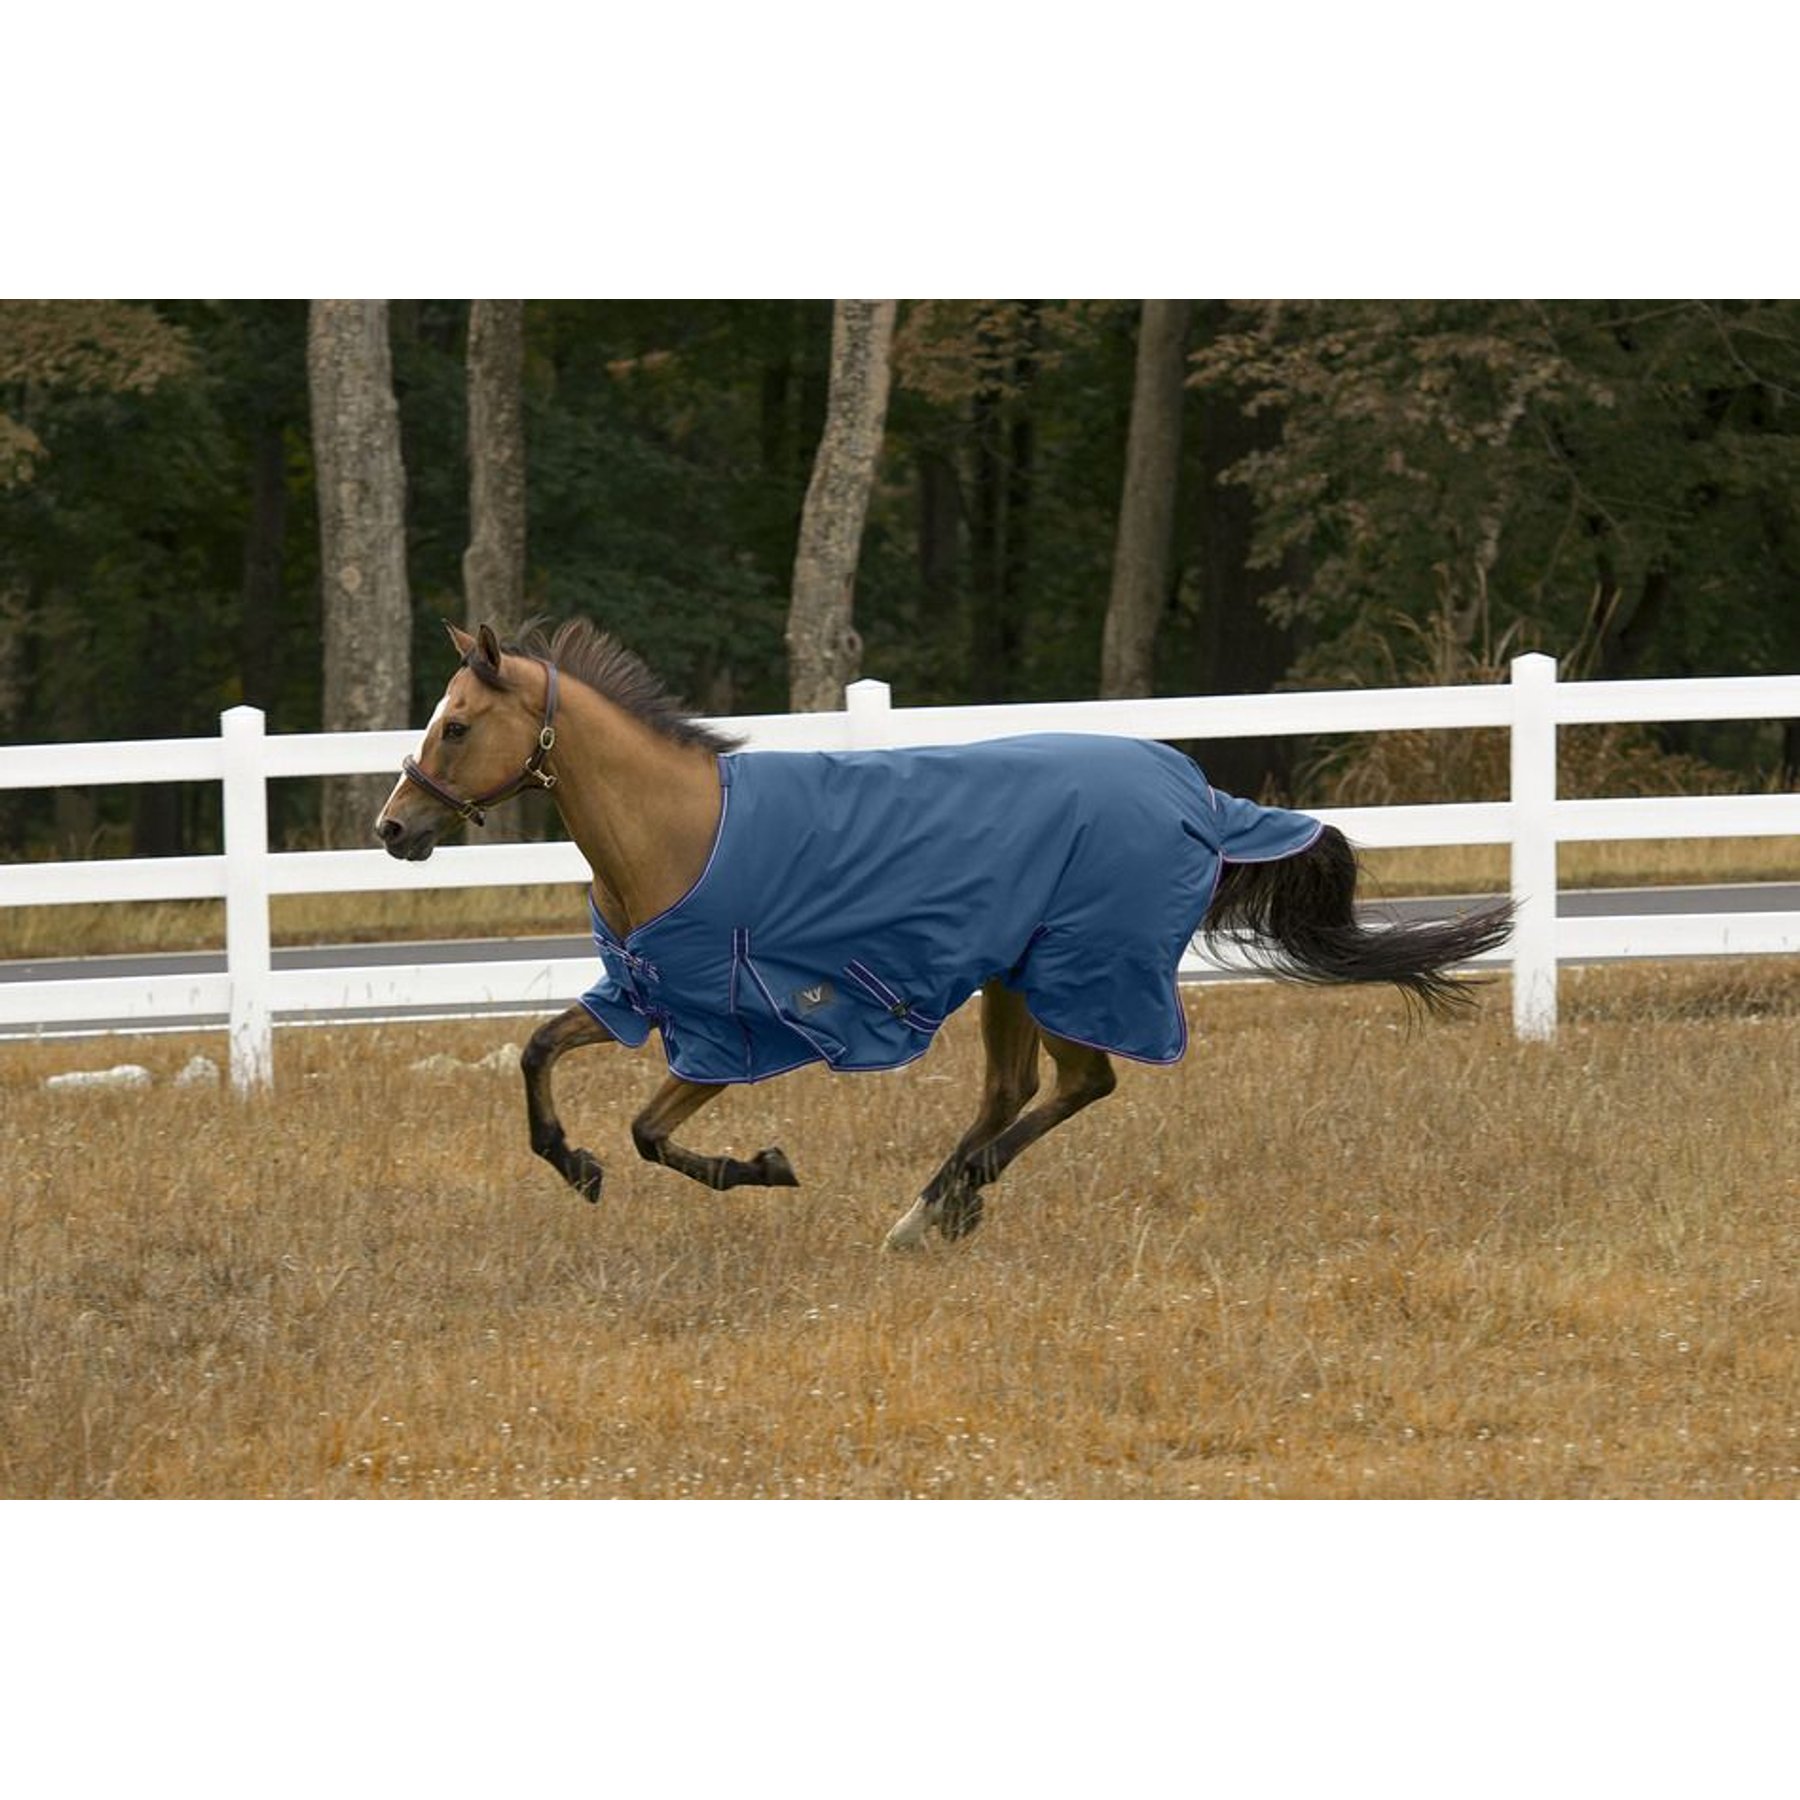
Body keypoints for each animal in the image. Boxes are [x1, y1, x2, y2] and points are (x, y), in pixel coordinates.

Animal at [375, 619, 1515, 1249]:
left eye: (458, 723)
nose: (393, 827)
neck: (681, 830)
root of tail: (1195, 791)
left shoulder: (735, 1025)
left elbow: (652, 1131)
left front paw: (764, 1167)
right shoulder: (643, 994)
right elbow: (539, 1054)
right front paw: (573, 1165)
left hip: (1069, 970)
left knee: (1084, 1082)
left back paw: (939, 1208)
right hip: (1014, 974)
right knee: (1019, 1090)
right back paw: (935, 1206)